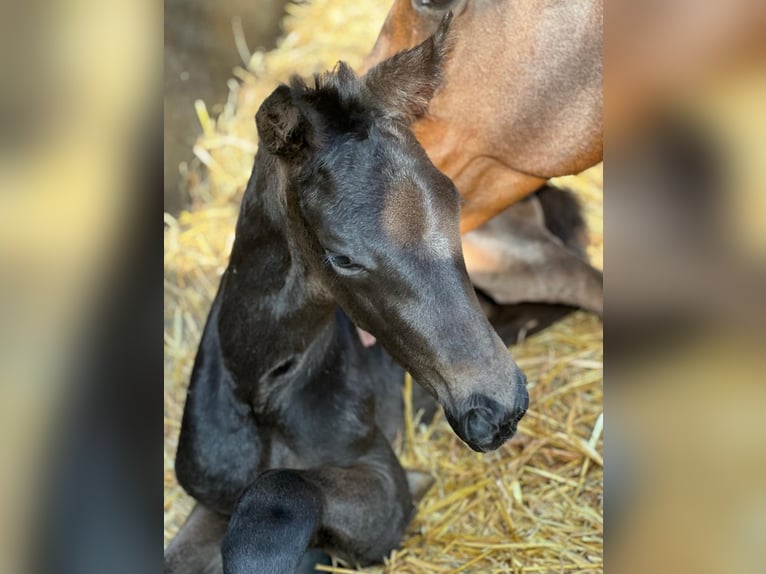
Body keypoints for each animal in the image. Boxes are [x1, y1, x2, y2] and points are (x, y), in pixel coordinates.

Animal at [166, 18, 528, 574]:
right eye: (342, 257)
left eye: (455, 203)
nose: (499, 409)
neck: (263, 389)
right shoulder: (211, 497)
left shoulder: (381, 479)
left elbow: (276, 499)